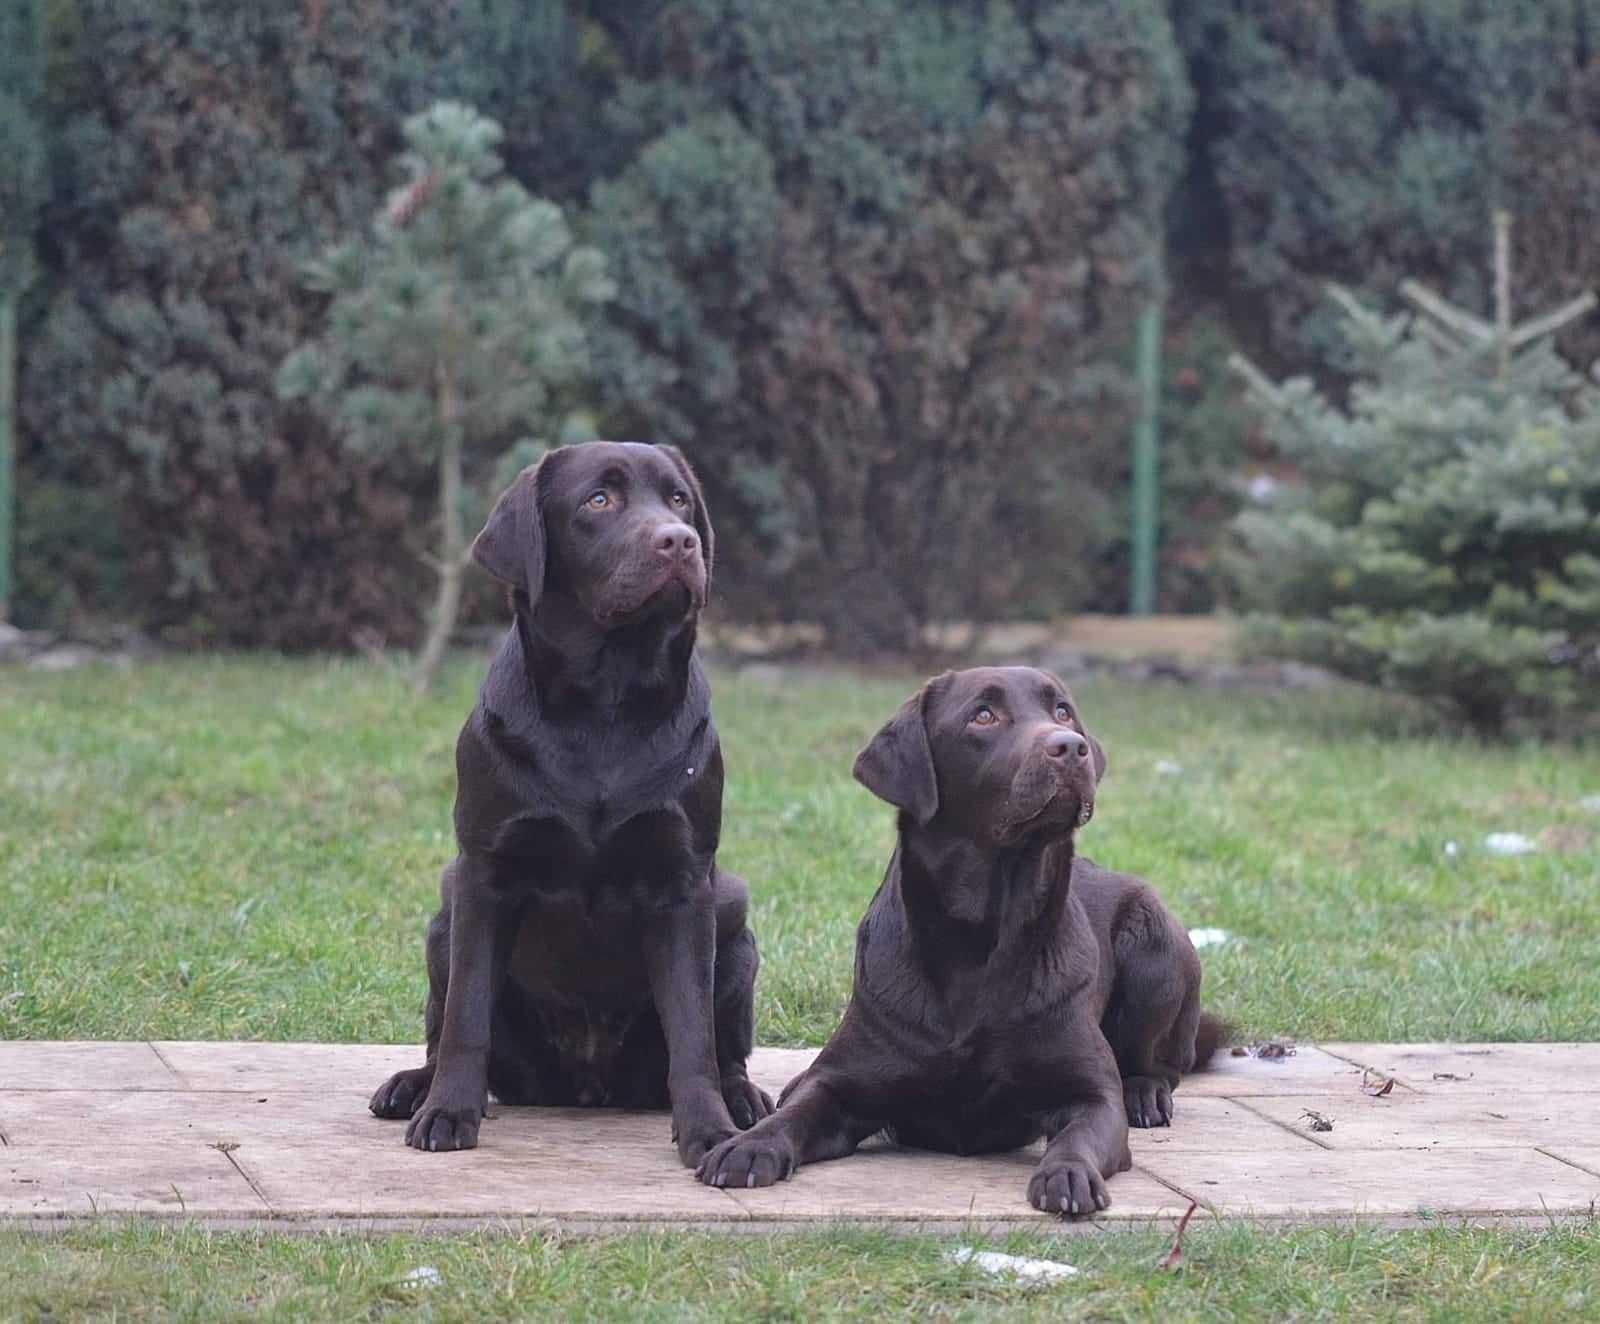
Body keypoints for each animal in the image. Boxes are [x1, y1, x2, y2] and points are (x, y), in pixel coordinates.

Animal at [694, 668, 1216, 1215]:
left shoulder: (1091, 1095)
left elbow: (1080, 1134)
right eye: (983, 715)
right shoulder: (841, 1083)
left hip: (1155, 943)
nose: (1071, 747)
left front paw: (1068, 1173)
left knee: (1162, 1064)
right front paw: (749, 1146)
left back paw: (1145, 1093)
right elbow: (796, 1112)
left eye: (1063, 711)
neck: (980, 938)